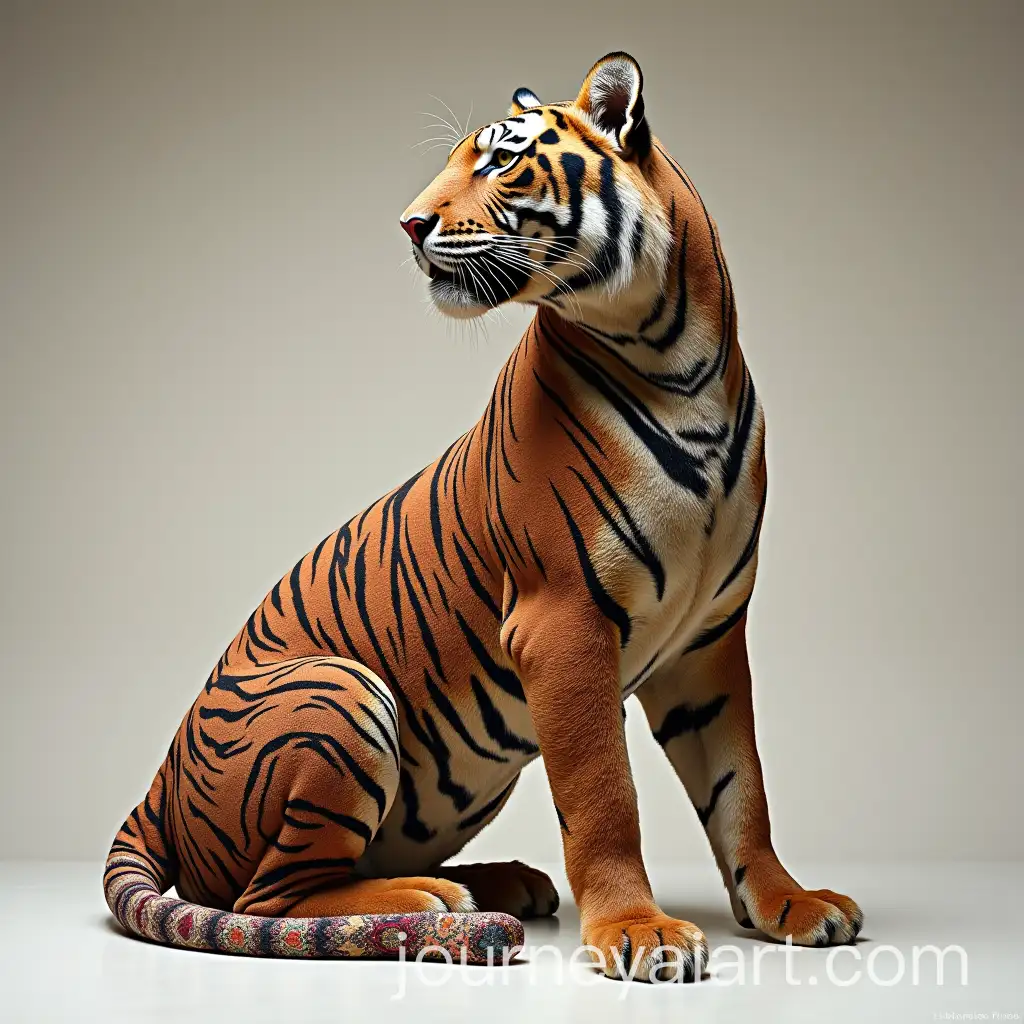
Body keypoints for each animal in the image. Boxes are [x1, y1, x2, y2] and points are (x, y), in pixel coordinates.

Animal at [104, 51, 863, 982]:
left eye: (502, 160)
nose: (408, 224)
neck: (677, 364)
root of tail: (157, 787)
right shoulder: (562, 624)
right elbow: (604, 795)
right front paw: (636, 931)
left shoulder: (711, 642)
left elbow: (740, 788)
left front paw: (791, 903)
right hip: (342, 691)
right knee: (264, 900)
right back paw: (432, 902)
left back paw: (498, 881)